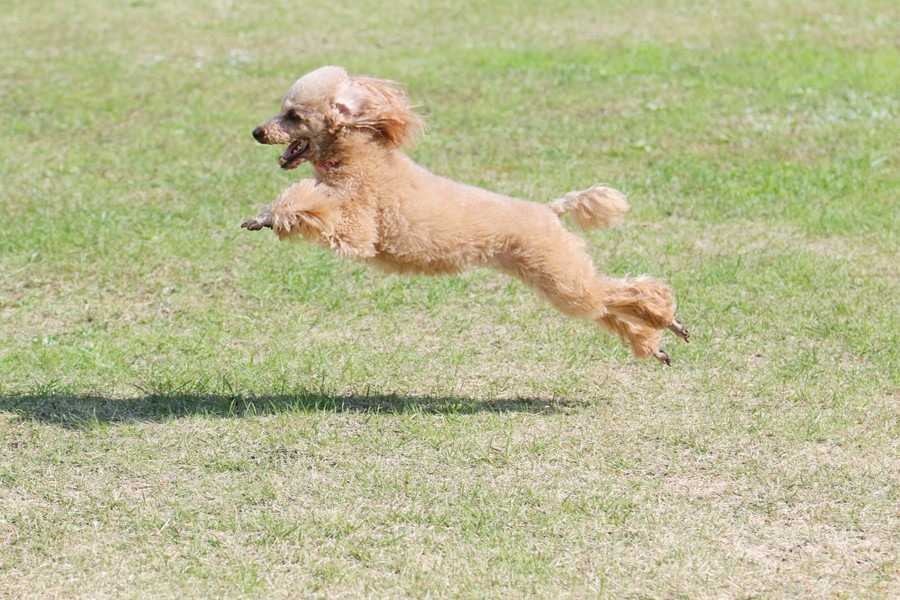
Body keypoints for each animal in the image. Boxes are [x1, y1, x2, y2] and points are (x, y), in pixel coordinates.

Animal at [239, 67, 688, 364]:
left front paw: (274, 216)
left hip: (557, 272)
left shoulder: (359, 225)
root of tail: (549, 210)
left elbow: (311, 206)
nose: (257, 132)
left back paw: (666, 316)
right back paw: (655, 342)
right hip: (551, 274)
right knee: (606, 306)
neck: (358, 158)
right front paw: (262, 217)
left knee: (622, 295)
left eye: (293, 115)